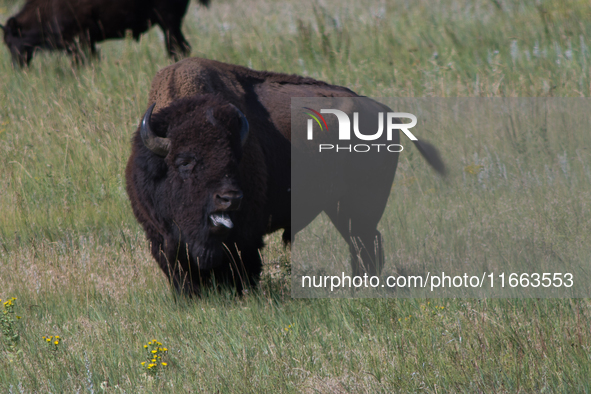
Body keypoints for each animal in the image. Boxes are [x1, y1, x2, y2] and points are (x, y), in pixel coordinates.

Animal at [126, 57, 448, 296]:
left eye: (235, 158)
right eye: (185, 162)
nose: (230, 198)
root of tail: (384, 111)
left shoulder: (246, 236)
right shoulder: (162, 238)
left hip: (362, 204)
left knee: (366, 243)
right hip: (341, 208)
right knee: (362, 243)